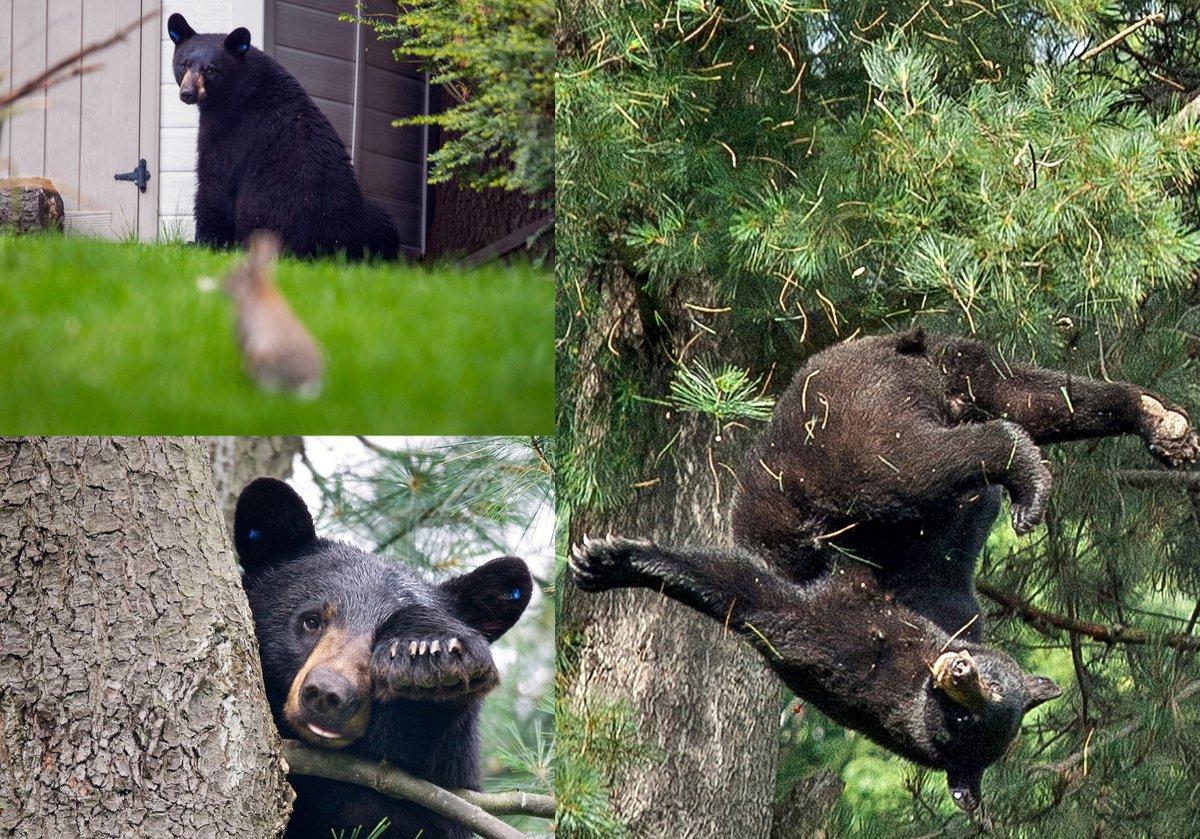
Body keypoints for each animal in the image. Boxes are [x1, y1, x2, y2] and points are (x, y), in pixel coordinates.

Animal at [166, 13, 400, 260]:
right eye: (184, 64)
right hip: (374, 219)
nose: (187, 93)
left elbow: (215, 182)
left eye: (210, 70)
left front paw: (200, 244)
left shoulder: (233, 130)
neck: (238, 92)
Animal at [571, 328, 1200, 816]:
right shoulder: (942, 605)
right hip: (894, 387)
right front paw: (609, 557)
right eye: (981, 696)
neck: (916, 659)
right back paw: (1144, 425)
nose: (960, 672)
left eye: (972, 718)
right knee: (1024, 398)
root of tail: (896, 347)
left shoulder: (852, 647)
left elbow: (759, 599)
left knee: (921, 458)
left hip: (851, 430)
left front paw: (613, 559)